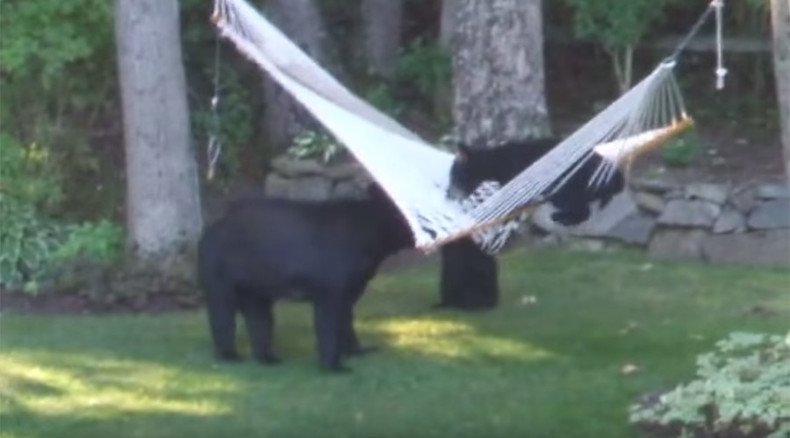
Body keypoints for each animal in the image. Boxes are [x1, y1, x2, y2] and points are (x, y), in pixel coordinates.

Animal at [196, 183, 414, 372]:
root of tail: (211, 228)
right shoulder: (330, 285)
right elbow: (329, 320)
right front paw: (334, 366)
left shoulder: (353, 284)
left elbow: (346, 317)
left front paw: (357, 351)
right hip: (219, 270)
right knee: (222, 312)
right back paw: (230, 355)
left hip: (255, 286)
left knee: (259, 318)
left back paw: (268, 358)